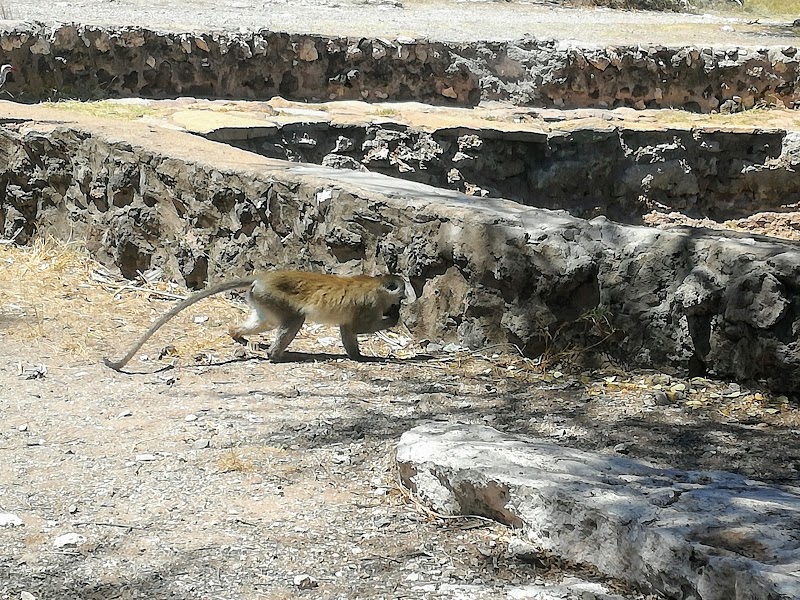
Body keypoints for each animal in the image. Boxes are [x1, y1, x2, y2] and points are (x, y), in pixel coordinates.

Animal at [104, 270, 406, 370]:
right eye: (400, 295)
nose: (400, 305)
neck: (377, 285)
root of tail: (262, 278)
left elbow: (347, 330)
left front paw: (358, 356)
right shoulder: (369, 304)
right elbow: (356, 327)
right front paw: (392, 321)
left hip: (262, 299)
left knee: (268, 323)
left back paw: (237, 334)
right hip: (273, 296)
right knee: (294, 320)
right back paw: (275, 355)